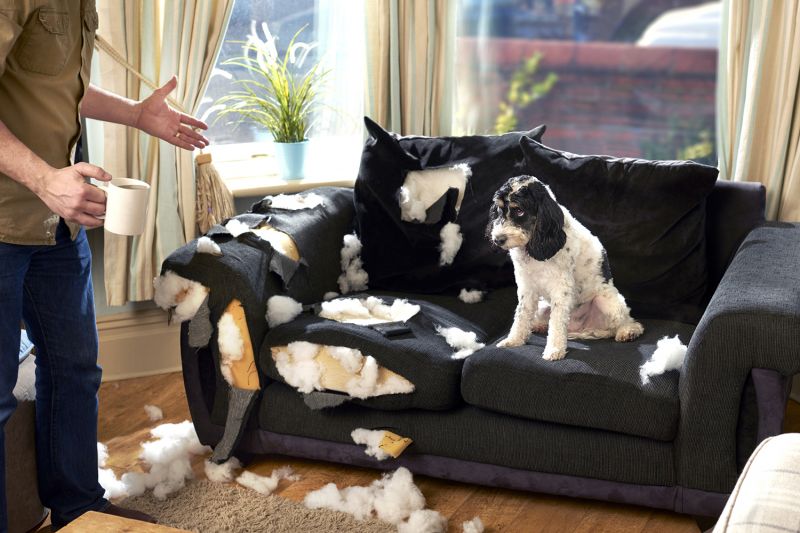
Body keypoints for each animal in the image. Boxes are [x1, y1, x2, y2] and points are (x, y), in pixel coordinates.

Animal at [488, 177, 644, 360]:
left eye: (519, 211)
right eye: (499, 209)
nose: (497, 239)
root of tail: (581, 327)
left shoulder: (561, 287)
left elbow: (556, 322)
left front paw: (554, 350)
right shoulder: (526, 286)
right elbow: (521, 315)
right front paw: (514, 340)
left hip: (607, 302)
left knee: (627, 321)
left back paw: (628, 332)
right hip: (542, 307)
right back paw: (538, 326)